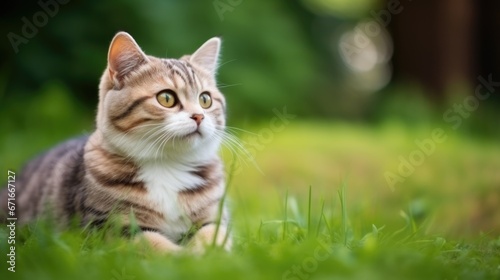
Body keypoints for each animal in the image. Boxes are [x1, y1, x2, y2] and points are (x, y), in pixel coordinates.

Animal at [0, 31, 230, 253]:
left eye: (205, 99)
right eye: (166, 98)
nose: (199, 116)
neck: (167, 165)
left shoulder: (216, 218)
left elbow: (213, 237)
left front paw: (207, 255)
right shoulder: (111, 228)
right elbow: (157, 247)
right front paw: (186, 257)